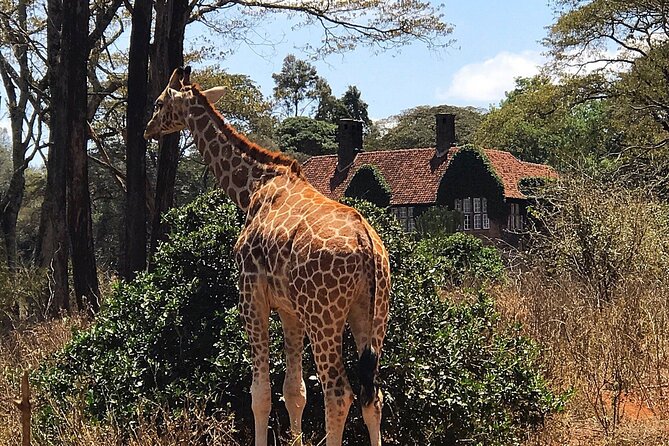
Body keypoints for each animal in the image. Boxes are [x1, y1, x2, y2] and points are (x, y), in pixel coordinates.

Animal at [144, 66, 391, 446]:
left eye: (158, 103)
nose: (147, 129)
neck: (251, 188)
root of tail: (367, 247)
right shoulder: (289, 309)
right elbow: (294, 392)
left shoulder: (251, 295)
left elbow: (259, 394)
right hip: (372, 316)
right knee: (372, 396)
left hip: (324, 317)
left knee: (338, 393)